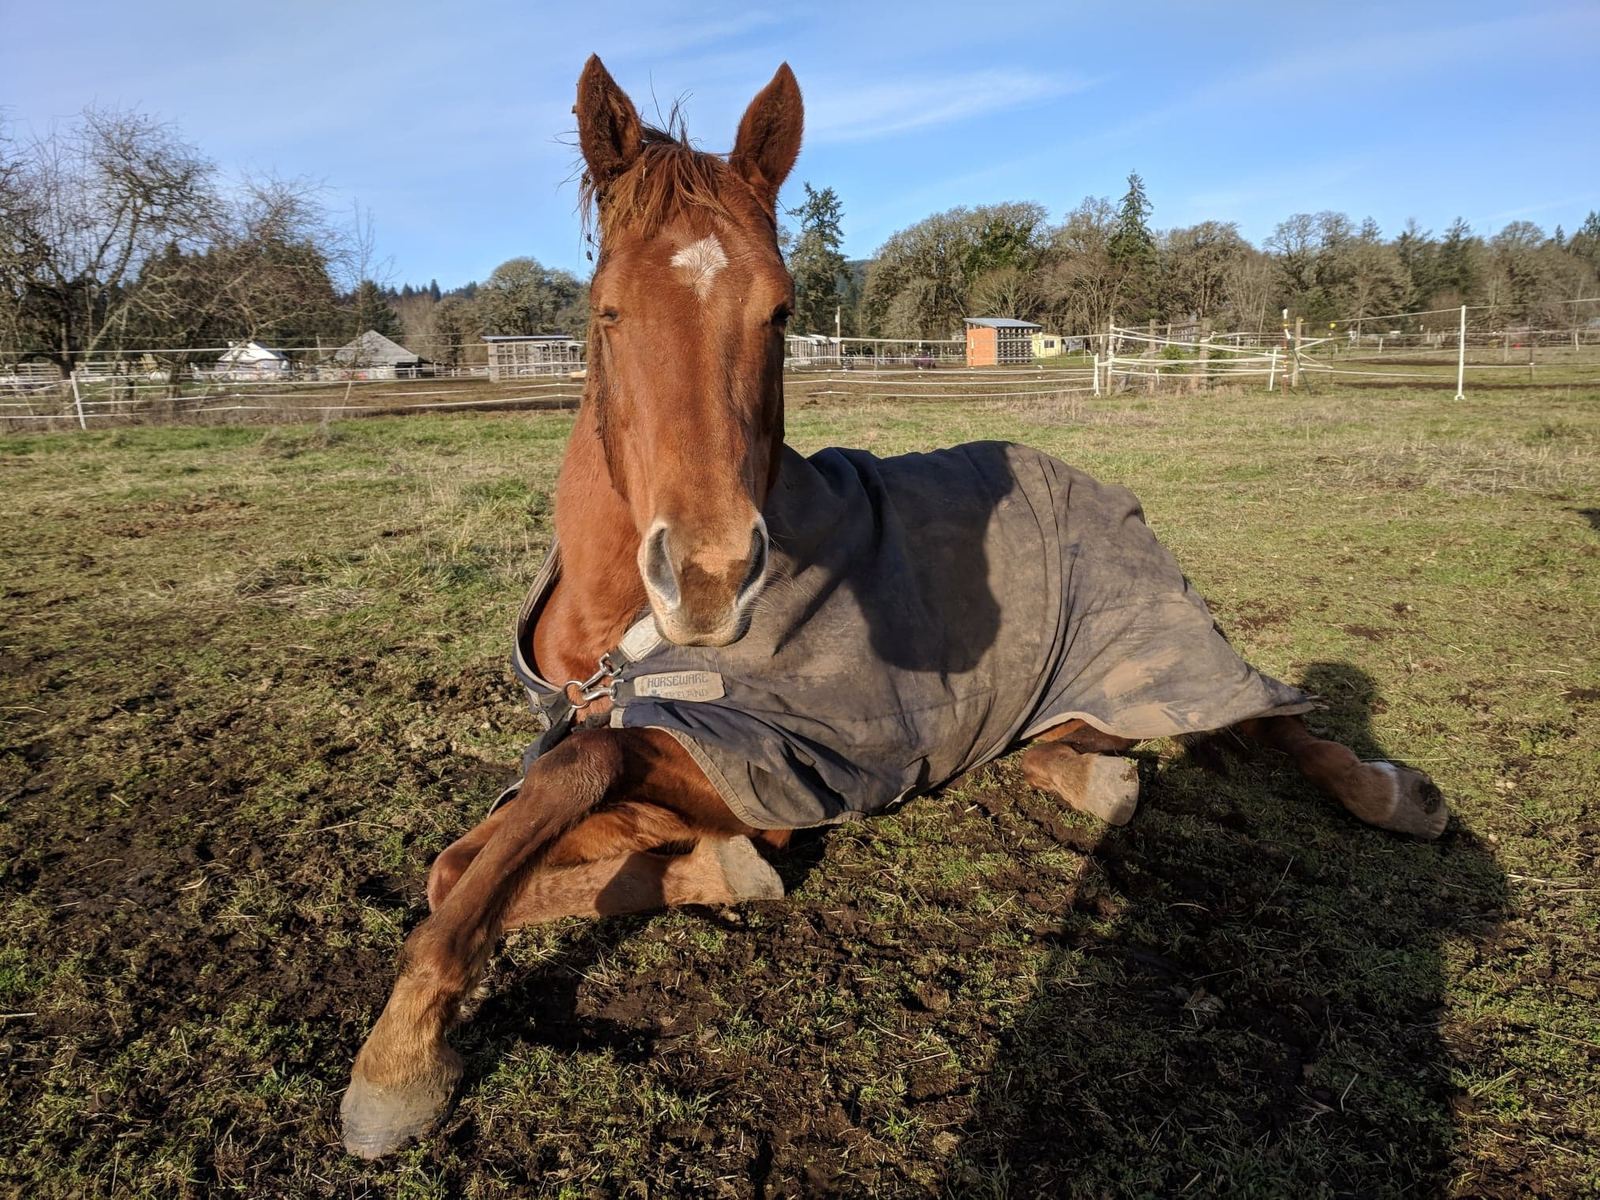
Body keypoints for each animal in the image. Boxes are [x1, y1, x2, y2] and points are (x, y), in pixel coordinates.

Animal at [339, 56, 1448, 1159]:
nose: (708, 579)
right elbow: (464, 859)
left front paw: (399, 1056)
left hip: (1169, 643)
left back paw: (1392, 794)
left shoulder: (757, 763)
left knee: (1267, 712)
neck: (616, 642)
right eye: (606, 310)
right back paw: (1095, 777)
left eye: (782, 311)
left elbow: (572, 780)